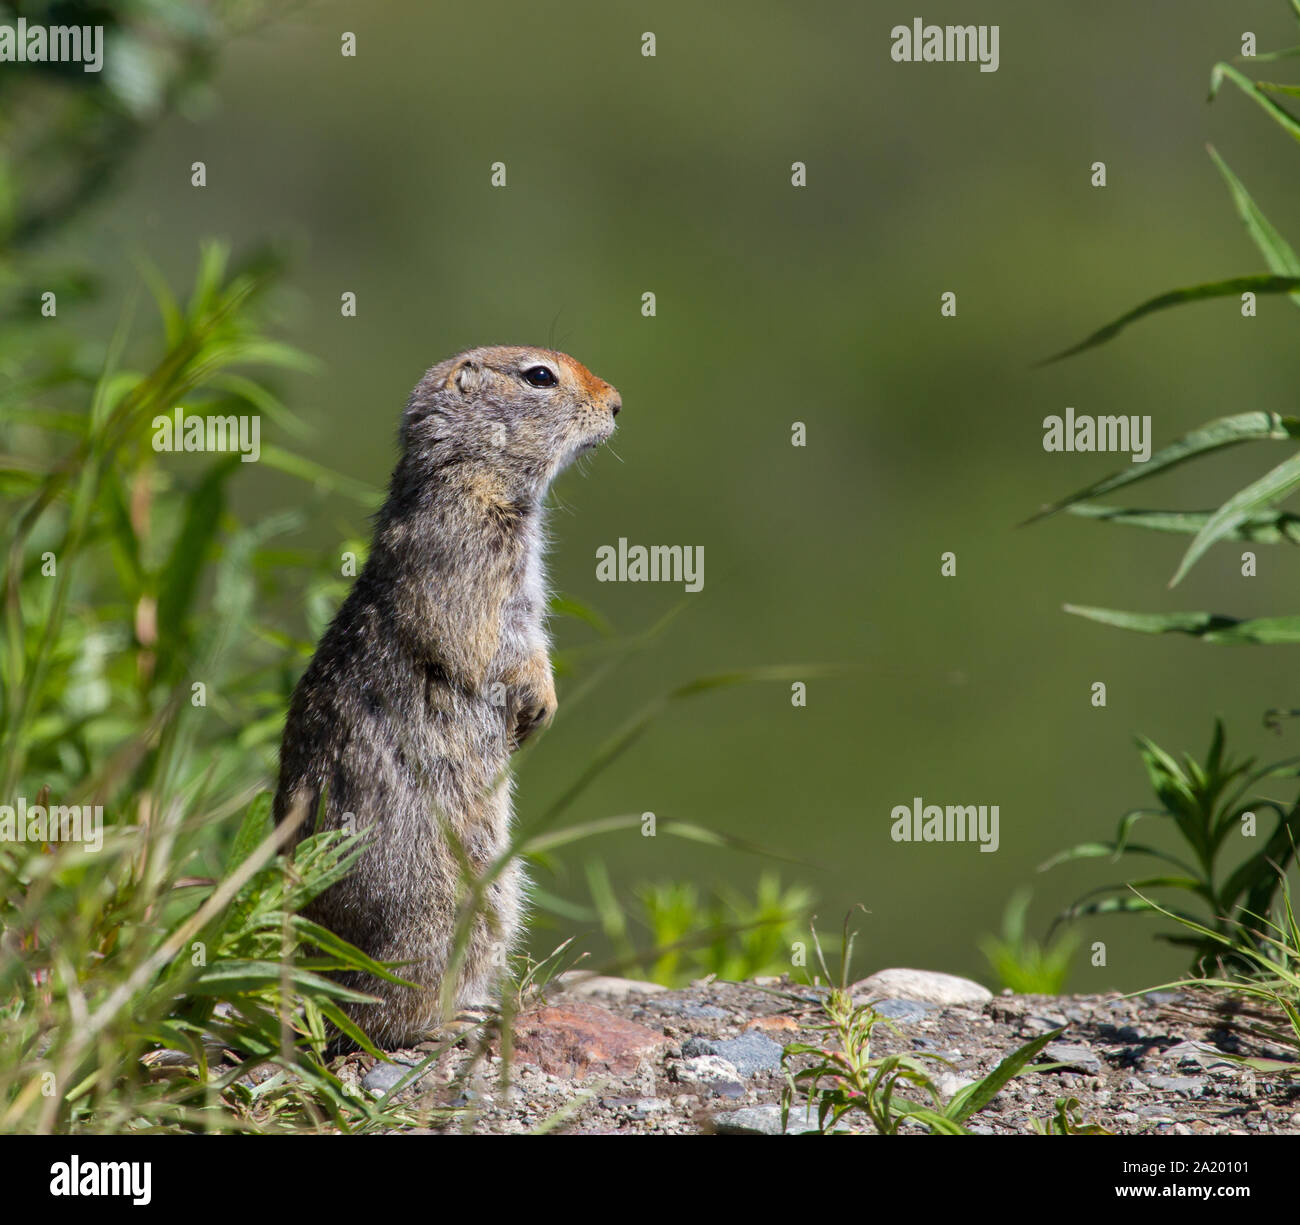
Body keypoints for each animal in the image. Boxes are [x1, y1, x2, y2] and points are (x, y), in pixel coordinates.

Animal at [273, 345, 618, 1045]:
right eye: (540, 376)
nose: (619, 402)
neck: (469, 472)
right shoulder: (476, 550)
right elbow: (499, 640)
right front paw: (541, 704)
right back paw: (451, 1020)